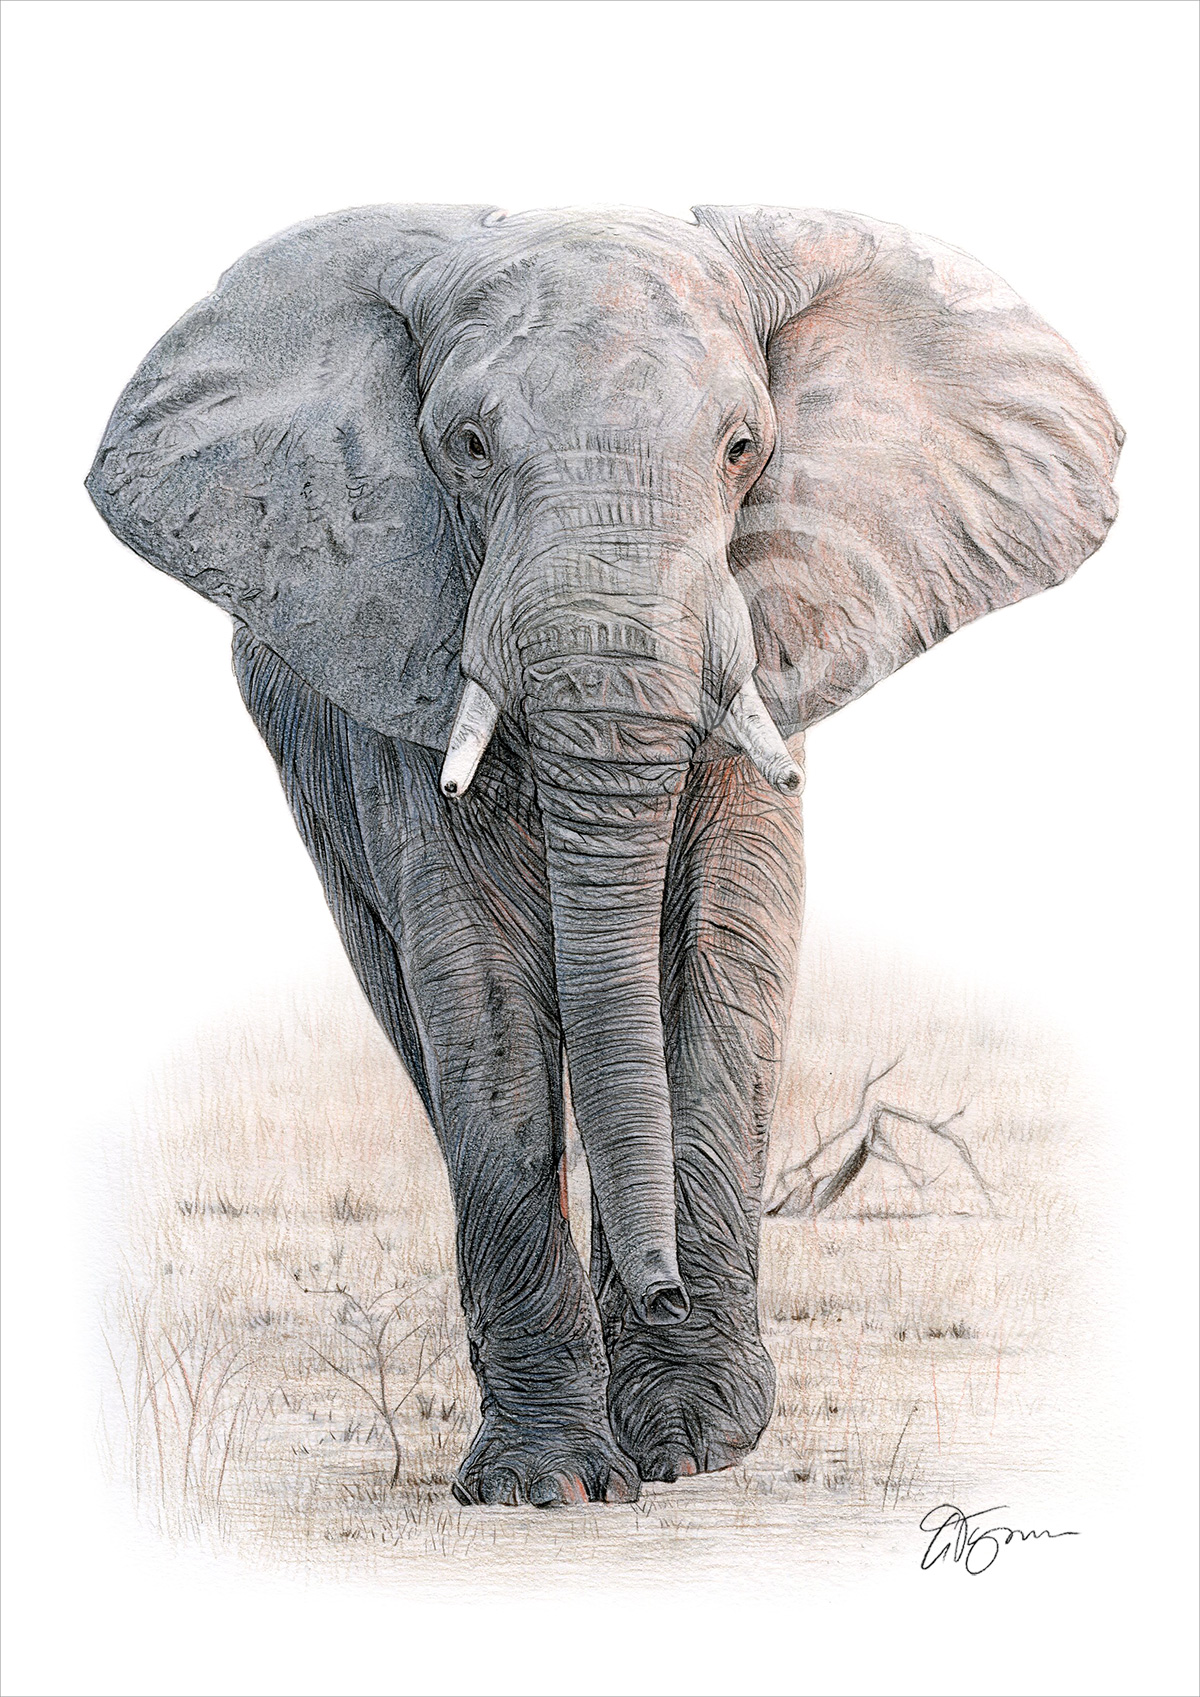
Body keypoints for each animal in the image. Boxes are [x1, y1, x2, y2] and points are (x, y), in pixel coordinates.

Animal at [87, 204, 1121, 1508]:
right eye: (467, 444)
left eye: (742, 447)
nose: (668, 1287)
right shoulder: (401, 645)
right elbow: (474, 983)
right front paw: (552, 1483)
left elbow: (723, 947)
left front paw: (695, 1438)